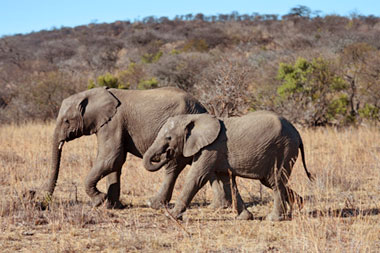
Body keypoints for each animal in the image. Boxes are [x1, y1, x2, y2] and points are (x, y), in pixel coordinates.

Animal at [43, 87, 230, 210]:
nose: (45, 200)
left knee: (173, 168)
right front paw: (112, 206)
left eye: (67, 121)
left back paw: (154, 204)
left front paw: (99, 201)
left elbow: (111, 157)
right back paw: (219, 206)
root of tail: (203, 108)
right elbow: (115, 163)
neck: (92, 93)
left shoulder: (113, 122)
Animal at [142, 111, 312, 221]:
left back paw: (274, 218)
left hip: (283, 149)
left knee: (276, 181)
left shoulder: (211, 148)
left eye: (168, 138)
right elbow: (228, 182)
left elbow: (196, 178)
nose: (167, 153)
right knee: (272, 181)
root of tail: (298, 134)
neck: (193, 118)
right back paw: (299, 206)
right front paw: (245, 217)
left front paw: (170, 216)